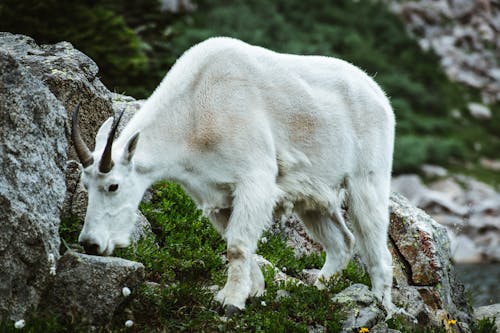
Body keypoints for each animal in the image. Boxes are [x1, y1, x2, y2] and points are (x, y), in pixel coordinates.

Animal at [72, 37, 396, 314]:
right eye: (85, 186)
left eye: (113, 186)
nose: (91, 244)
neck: (193, 115)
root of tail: (379, 94)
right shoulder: (215, 195)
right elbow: (234, 241)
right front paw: (253, 290)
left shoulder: (255, 180)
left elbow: (238, 245)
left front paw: (232, 301)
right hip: (314, 196)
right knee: (342, 242)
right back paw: (316, 291)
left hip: (367, 180)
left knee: (376, 245)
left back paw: (383, 305)